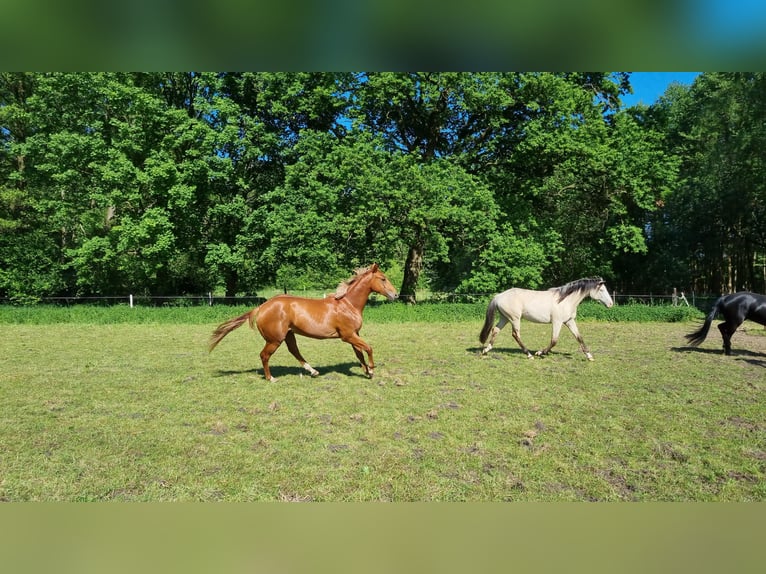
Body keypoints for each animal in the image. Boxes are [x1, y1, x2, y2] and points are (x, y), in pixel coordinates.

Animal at [210, 266, 402, 382]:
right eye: (383, 279)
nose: (396, 295)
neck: (348, 304)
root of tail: (261, 307)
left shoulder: (354, 335)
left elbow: (359, 353)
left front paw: (367, 371)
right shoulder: (347, 335)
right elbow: (368, 348)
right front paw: (372, 369)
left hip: (289, 335)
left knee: (294, 351)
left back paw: (313, 371)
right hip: (274, 339)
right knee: (264, 355)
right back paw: (271, 378)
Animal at [484, 278, 616, 362]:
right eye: (602, 290)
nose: (611, 304)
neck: (565, 300)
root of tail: (498, 296)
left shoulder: (569, 321)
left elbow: (579, 337)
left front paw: (589, 356)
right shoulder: (557, 322)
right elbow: (554, 341)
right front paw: (540, 353)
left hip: (505, 318)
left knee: (495, 330)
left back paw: (486, 350)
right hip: (514, 319)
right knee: (515, 334)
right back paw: (529, 355)